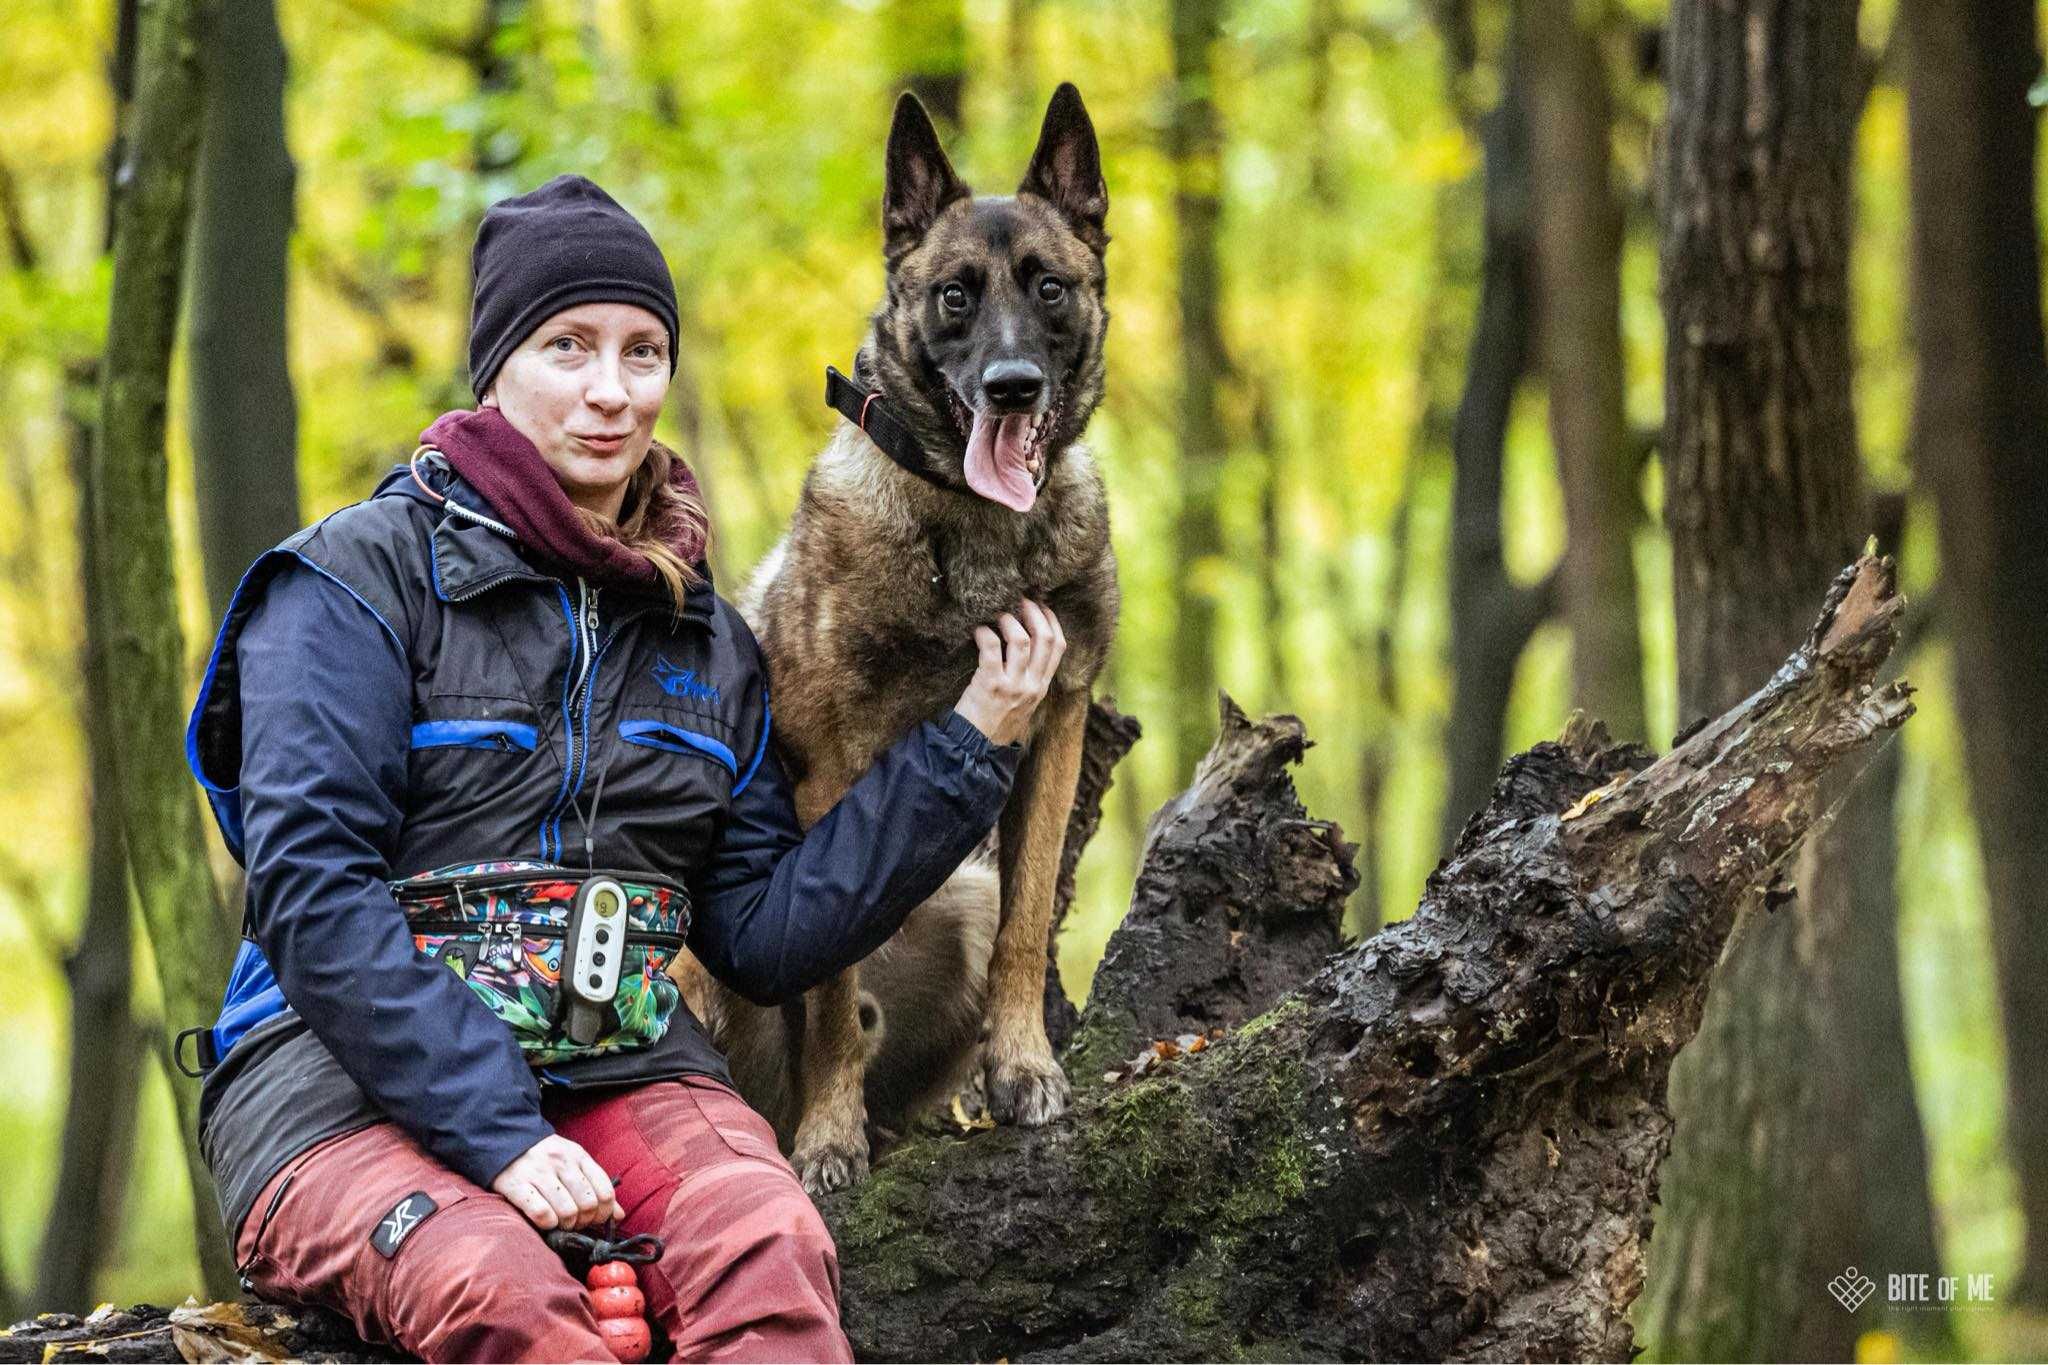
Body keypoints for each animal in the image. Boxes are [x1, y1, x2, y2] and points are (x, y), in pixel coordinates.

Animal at [671, 87, 1122, 1195]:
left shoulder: (1056, 725)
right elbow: (832, 996)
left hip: (958, 899)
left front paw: (1023, 1068)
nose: (1011, 385)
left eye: (1050, 288)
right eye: (955, 296)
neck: (975, 525)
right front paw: (828, 1139)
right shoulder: (834, 764)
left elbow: (1028, 923)